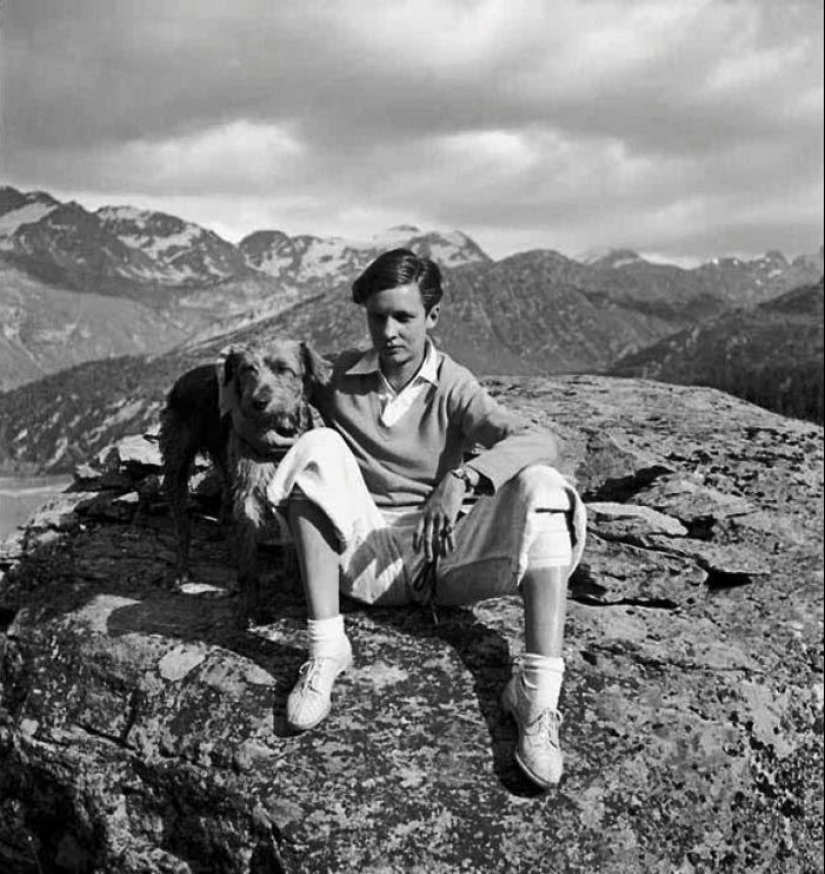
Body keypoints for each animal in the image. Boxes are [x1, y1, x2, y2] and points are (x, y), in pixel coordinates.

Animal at [159, 338, 330, 624]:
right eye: (248, 370)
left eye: (284, 369)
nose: (259, 401)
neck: (277, 431)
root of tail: (183, 378)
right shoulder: (249, 488)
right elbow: (250, 557)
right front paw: (250, 607)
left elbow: (291, 542)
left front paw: (293, 582)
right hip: (177, 463)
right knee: (183, 525)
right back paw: (182, 571)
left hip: (226, 468)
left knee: (226, 513)